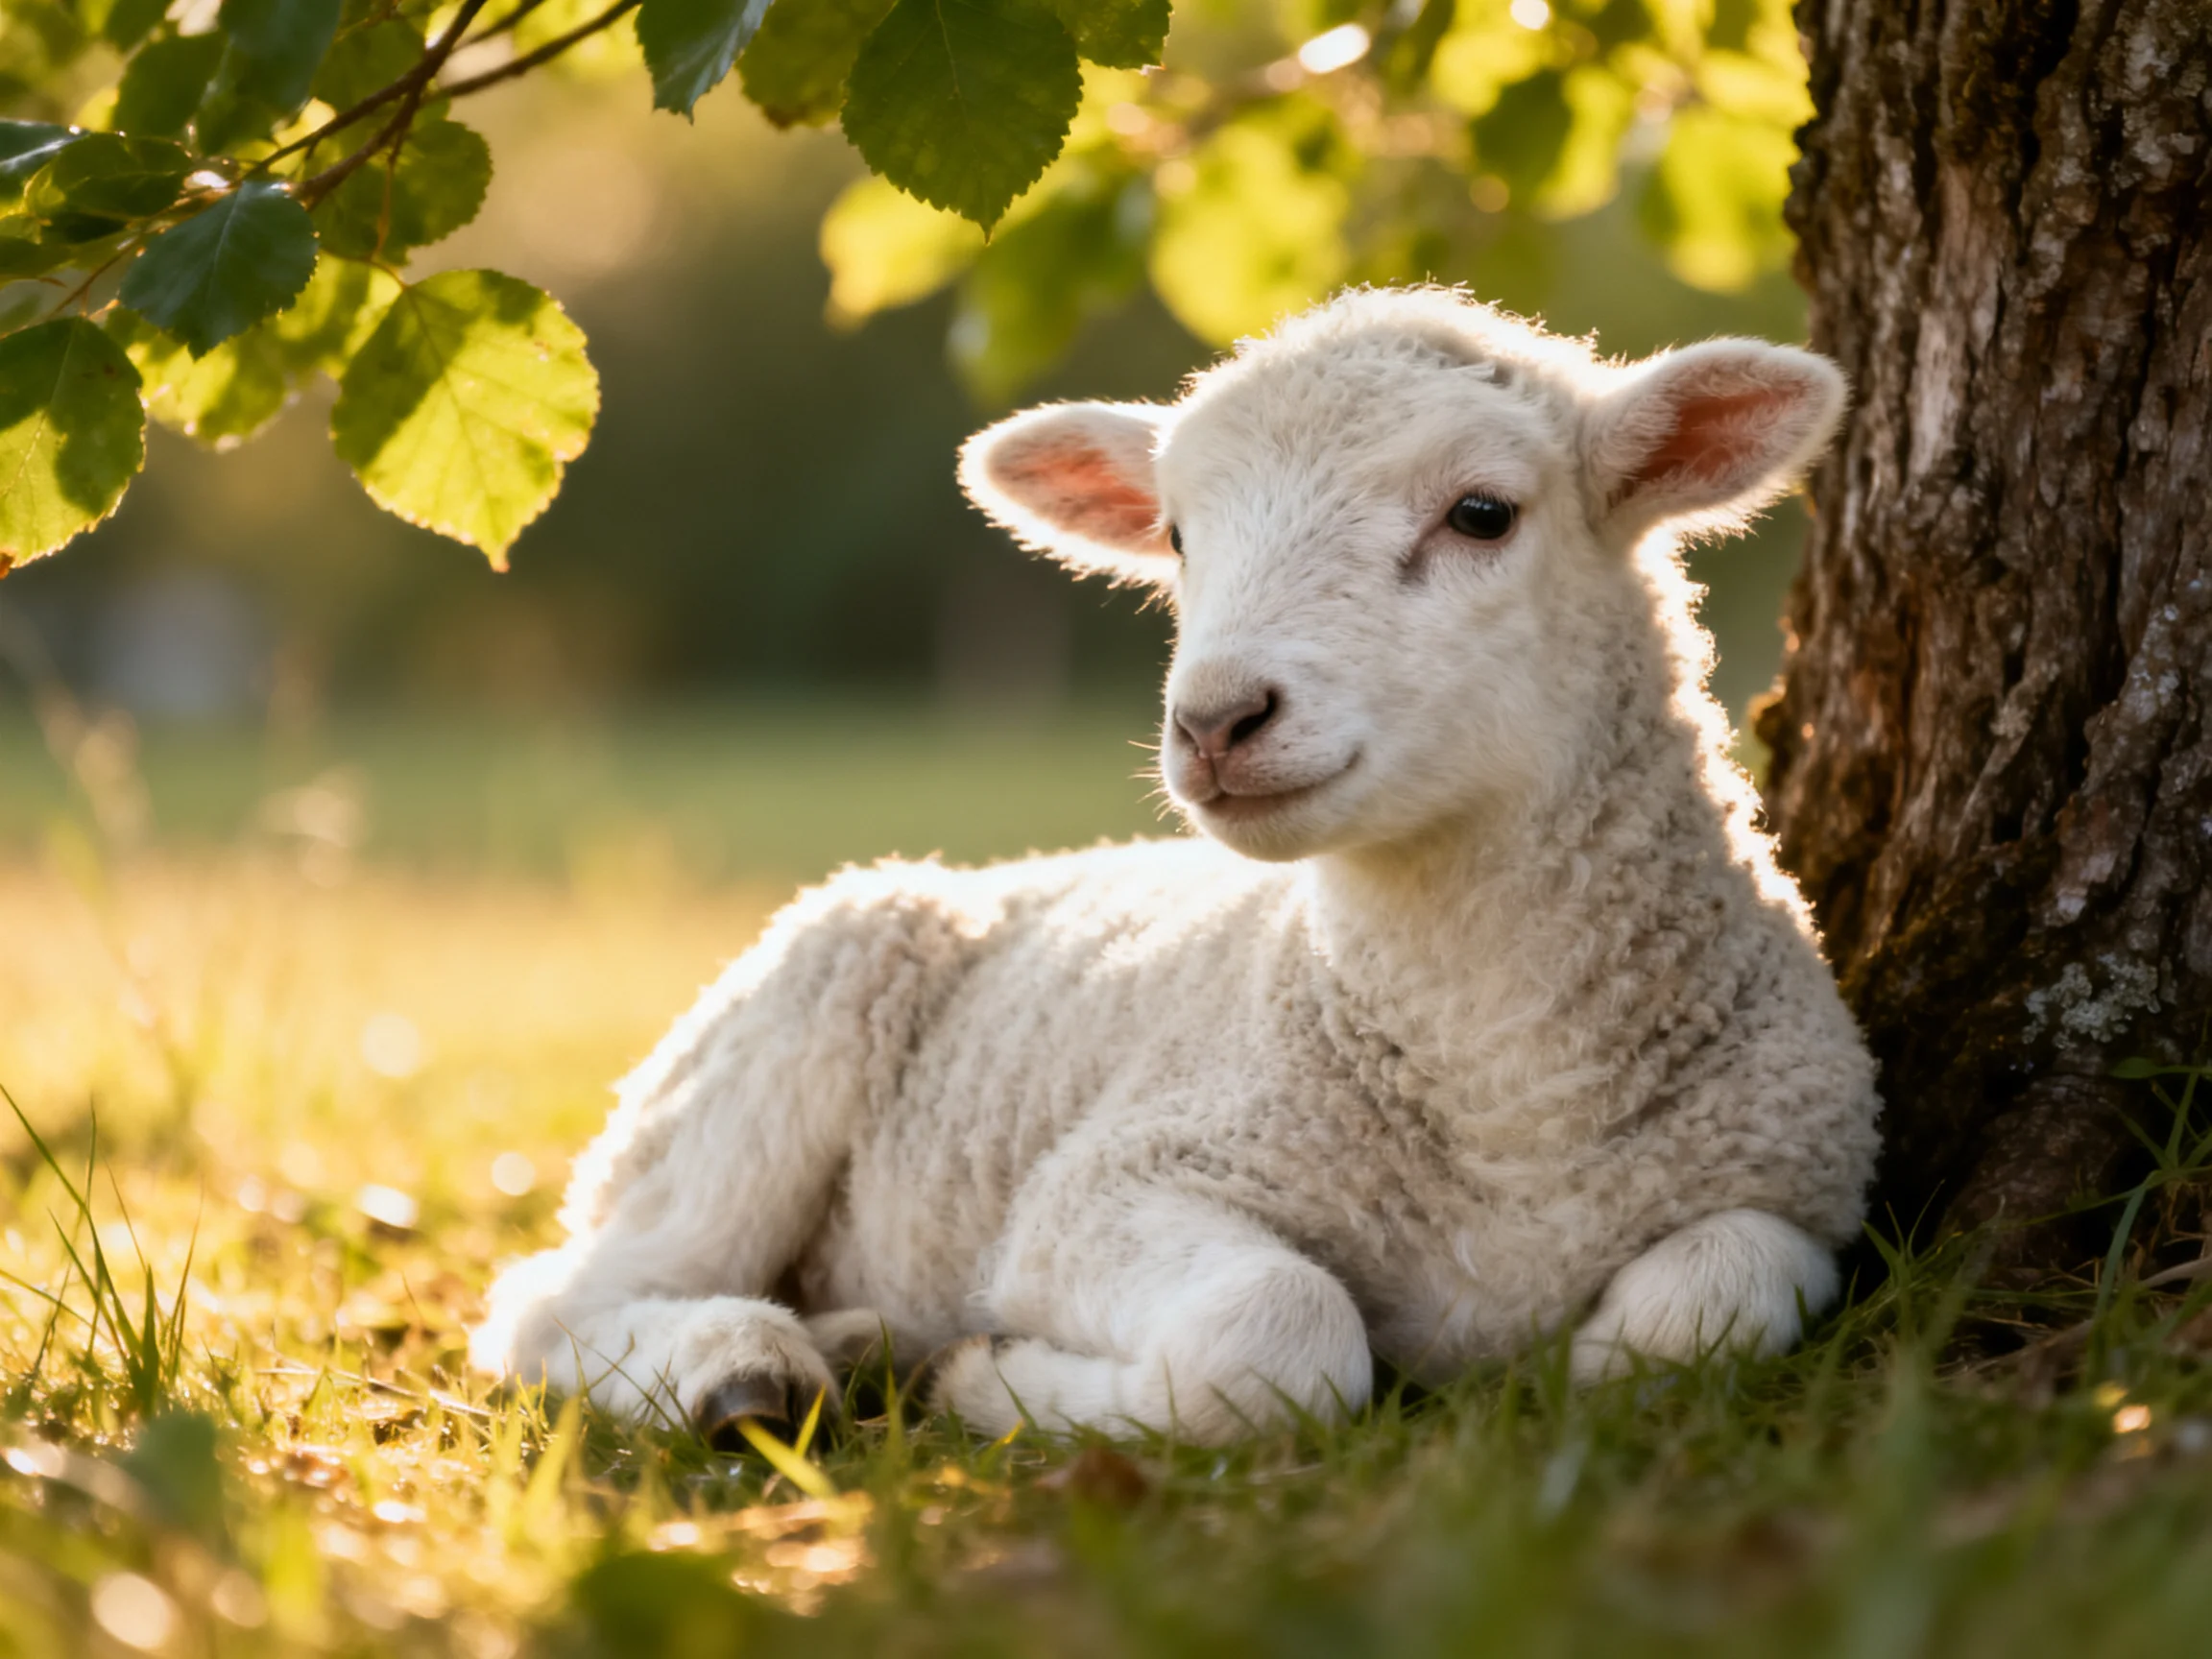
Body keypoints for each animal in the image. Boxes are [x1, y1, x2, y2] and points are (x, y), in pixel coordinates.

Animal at [469, 286, 1881, 1446]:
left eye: (1483, 513)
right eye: (1179, 534)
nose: (1214, 719)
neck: (1508, 1111)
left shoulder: (1796, 1188)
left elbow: (1689, 1328)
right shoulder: (1107, 1187)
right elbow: (1278, 1335)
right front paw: (995, 1379)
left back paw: (849, 1341)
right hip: (773, 1048)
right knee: (556, 1299)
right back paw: (739, 1370)